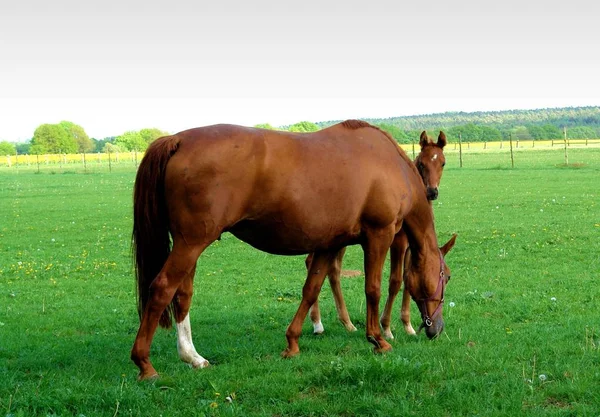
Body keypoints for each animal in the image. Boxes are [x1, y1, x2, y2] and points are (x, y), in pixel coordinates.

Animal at [308, 130, 448, 338]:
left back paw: (347, 323)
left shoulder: (411, 246)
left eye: (443, 163)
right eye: (422, 162)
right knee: (313, 262)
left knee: (333, 271)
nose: (432, 192)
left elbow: (409, 279)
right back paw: (317, 323)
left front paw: (408, 325)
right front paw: (386, 327)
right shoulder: (398, 242)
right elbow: (395, 281)